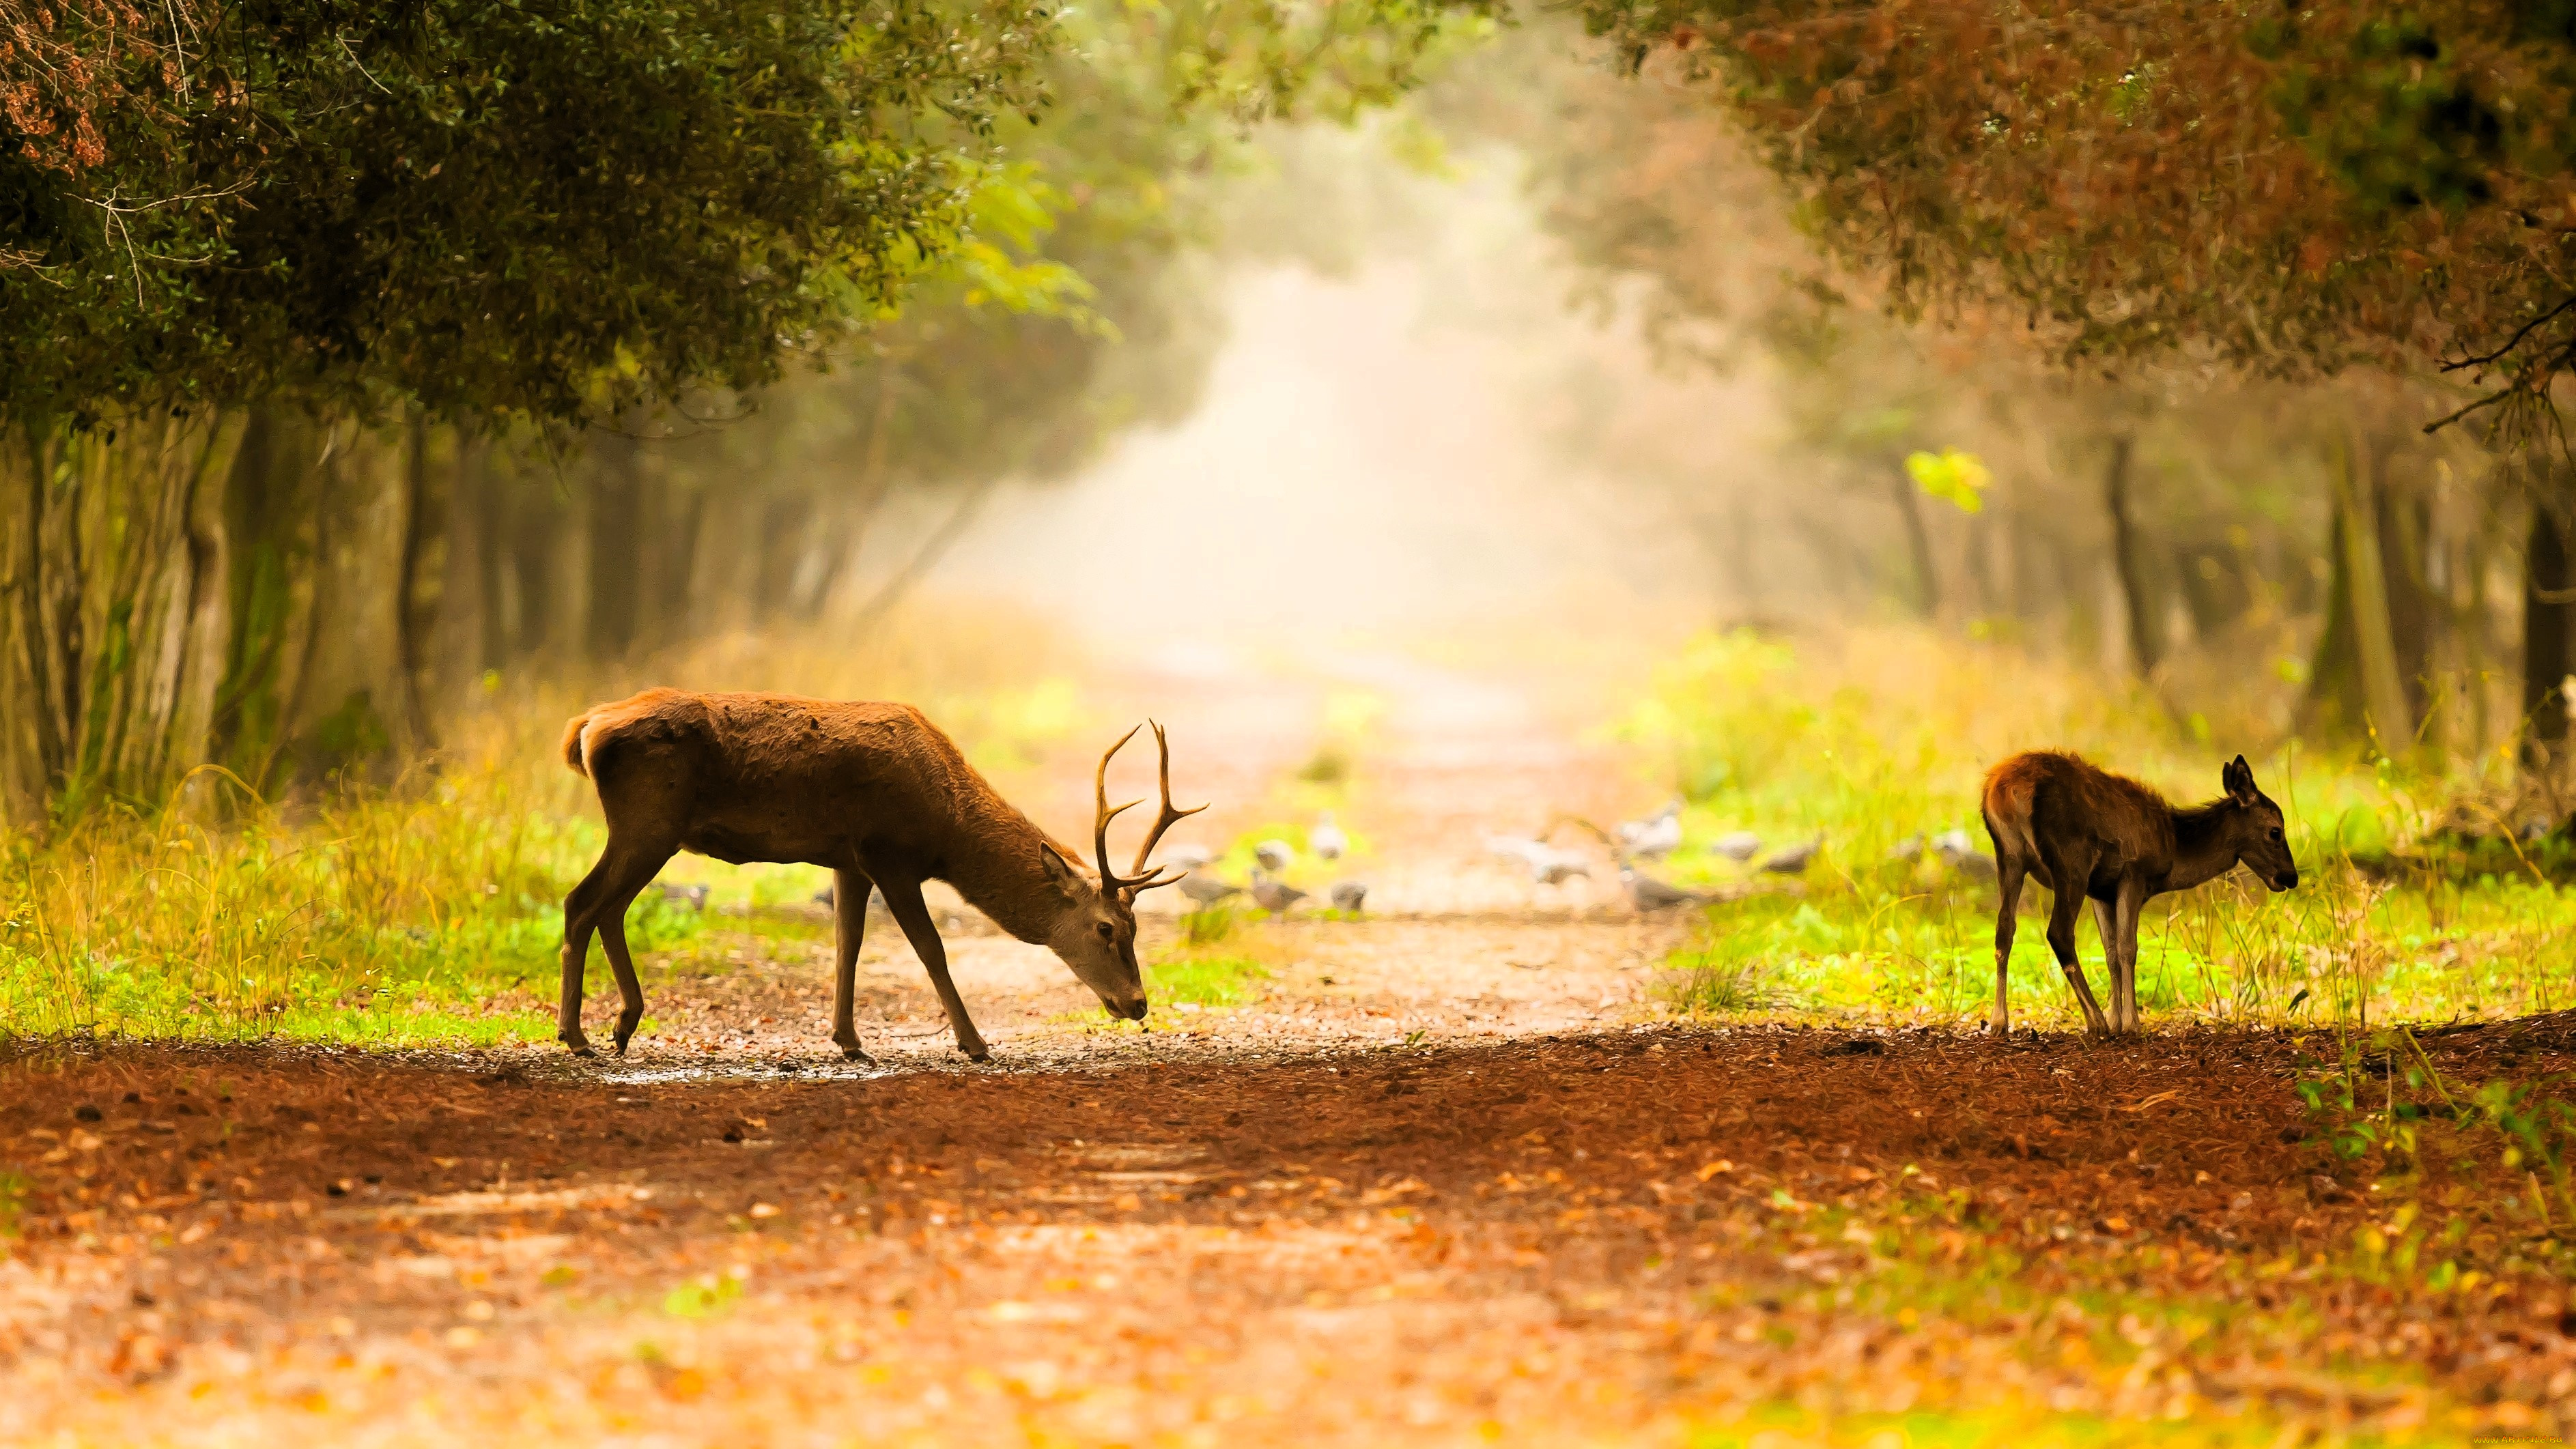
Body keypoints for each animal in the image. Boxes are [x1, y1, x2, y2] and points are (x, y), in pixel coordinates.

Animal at [554, 685, 1195, 1060]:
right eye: (1107, 928)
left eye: (1137, 928)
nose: (1138, 1003)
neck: (946, 827)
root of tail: (585, 728)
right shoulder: (889, 852)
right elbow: (930, 947)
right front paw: (974, 1043)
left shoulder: (848, 859)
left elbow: (848, 943)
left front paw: (849, 1041)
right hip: (649, 819)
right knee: (582, 902)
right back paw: (578, 1035)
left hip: (648, 829)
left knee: (605, 907)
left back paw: (621, 1025)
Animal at [1978, 746, 2308, 1044]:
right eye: (2276, 831)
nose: (2290, 877)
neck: (2173, 847)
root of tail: (2006, 790)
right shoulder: (2133, 874)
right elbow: (2128, 949)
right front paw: (2130, 1024)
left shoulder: (2101, 891)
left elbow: (2110, 952)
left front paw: (2117, 1020)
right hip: (2072, 861)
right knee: (2059, 932)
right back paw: (2095, 1021)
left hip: (2009, 856)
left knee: (2004, 929)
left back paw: (1999, 1022)